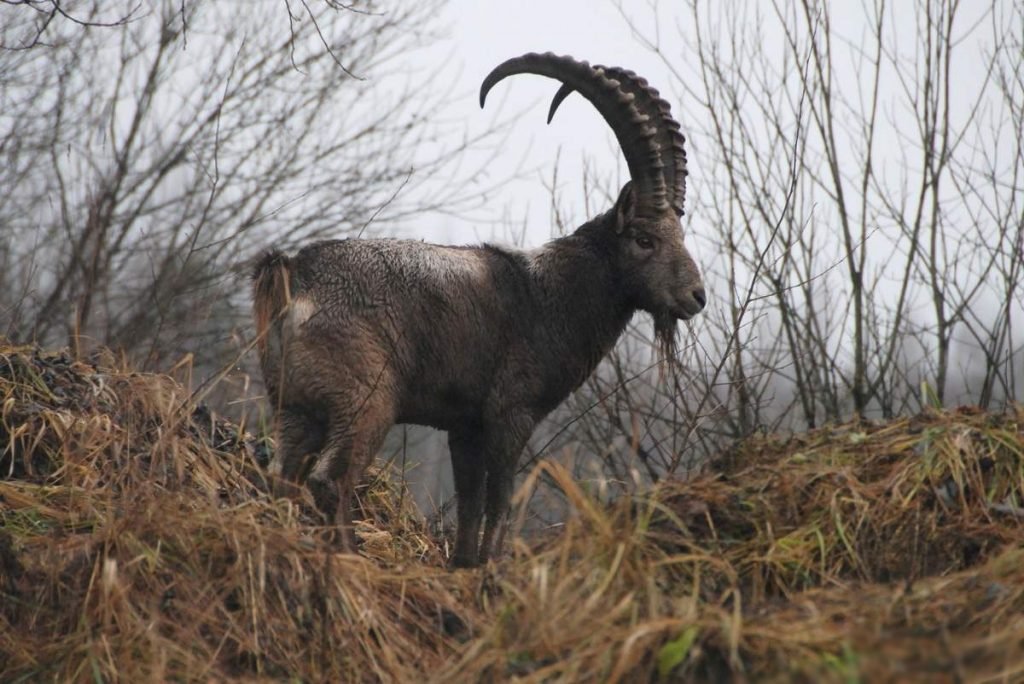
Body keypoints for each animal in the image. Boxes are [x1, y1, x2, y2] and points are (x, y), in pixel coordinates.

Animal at [252, 52, 708, 565]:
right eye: (645, 239)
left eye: (679, 234)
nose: (696, 297)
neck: (550, 294)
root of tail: (293, 275)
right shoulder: (511, 414)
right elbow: (500, 497)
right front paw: (491, 564)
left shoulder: (463, 425)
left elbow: (469, 501)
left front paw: (464, 564)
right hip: (366, 402)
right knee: (331, 480)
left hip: (294, 406)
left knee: (285, 478)